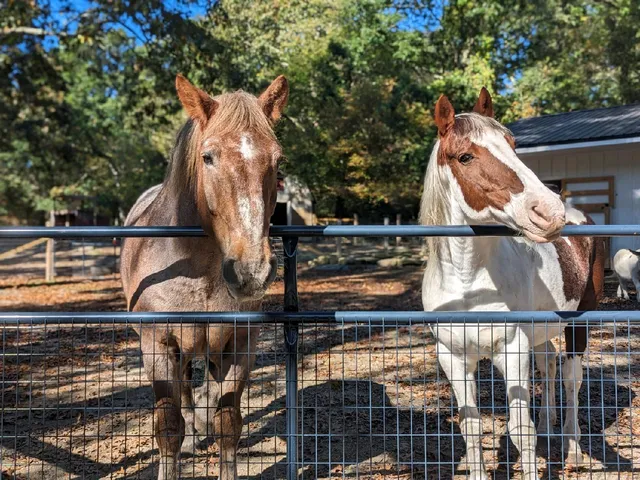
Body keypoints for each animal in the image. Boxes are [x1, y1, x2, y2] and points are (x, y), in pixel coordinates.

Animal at [120, 73, 288, 480]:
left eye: (278, 161)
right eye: (208, 157)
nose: (251, 270)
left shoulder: (240, 344)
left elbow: (228, 423)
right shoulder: (158, 347)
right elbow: (168, 427)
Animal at [419, 88, 604, 480]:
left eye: (512, 144)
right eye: (465, 156)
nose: (549, 212)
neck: (470, 284)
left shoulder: (512, 350)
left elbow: (521, 429)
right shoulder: (453, 358)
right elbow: (471, 425)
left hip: (579, 322)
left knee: (571, 378)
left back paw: (573, 449)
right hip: (544, 330)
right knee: (549, 364)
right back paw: (551, 425)